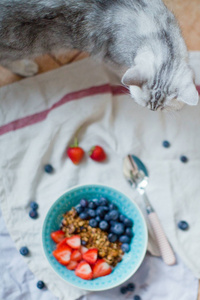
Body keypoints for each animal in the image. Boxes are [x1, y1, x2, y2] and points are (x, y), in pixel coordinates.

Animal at [0, 0, 198, 110]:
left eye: (159, 109)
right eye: (146, 106)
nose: (151, 111)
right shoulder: (112, 59)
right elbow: (120, 71)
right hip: (19, 46)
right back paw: (25, 67)